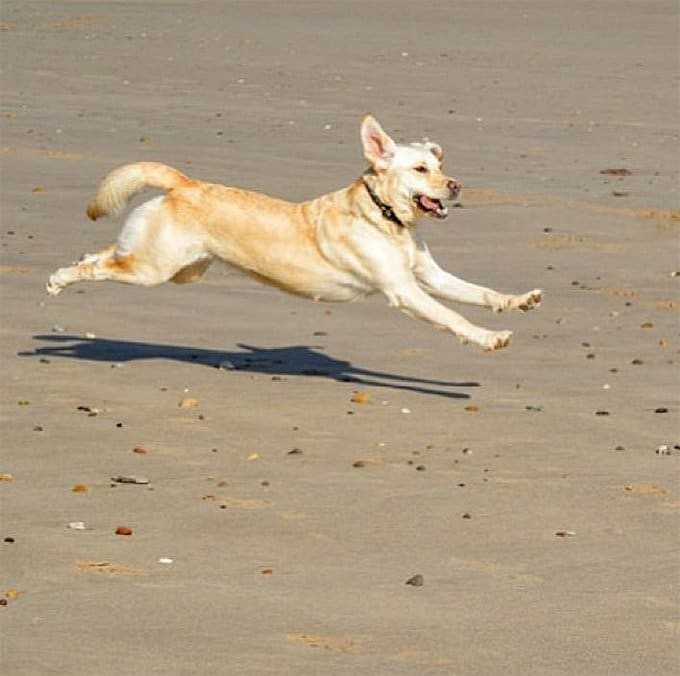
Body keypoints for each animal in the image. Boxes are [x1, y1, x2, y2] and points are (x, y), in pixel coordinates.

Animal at [46, 114, 540, 352]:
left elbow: (478, 293)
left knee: (104, 254)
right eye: (421, 169)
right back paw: (58, 280)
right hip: (155, 269)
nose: (456, 186)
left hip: (178, 268)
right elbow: (454, 317)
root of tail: (184, 182)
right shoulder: (403, 289)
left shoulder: (429, 276)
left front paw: (517, 301)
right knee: (99, 268)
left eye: (441, 165)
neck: (386, 219)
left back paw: (71, 267)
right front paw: (489, 338)